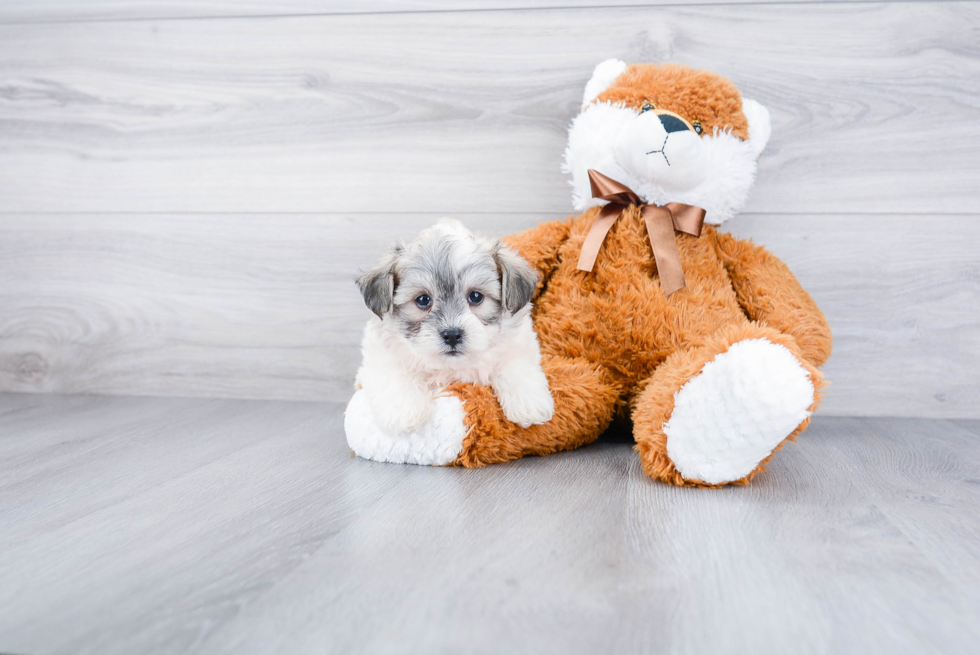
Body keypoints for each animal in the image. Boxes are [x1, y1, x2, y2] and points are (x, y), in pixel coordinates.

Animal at [354, 218, 556, 438]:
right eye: (423, 300)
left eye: (476, 296)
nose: (452, 335)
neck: (452, 369)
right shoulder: (381, 352)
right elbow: (394, 372)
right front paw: (404, 411)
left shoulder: (519, 341)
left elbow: (516, 364)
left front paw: (529, 403)